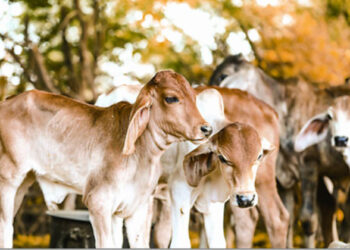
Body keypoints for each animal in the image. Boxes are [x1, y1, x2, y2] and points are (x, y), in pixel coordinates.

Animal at [0, 70, 211, 248]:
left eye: (194, 97)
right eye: (171, 98)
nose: (206, 128)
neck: (143, 154)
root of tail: (8, 101)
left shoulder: (137, 208)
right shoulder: (98, 202)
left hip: (23, 183)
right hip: (8, 180)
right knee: (5, 228)